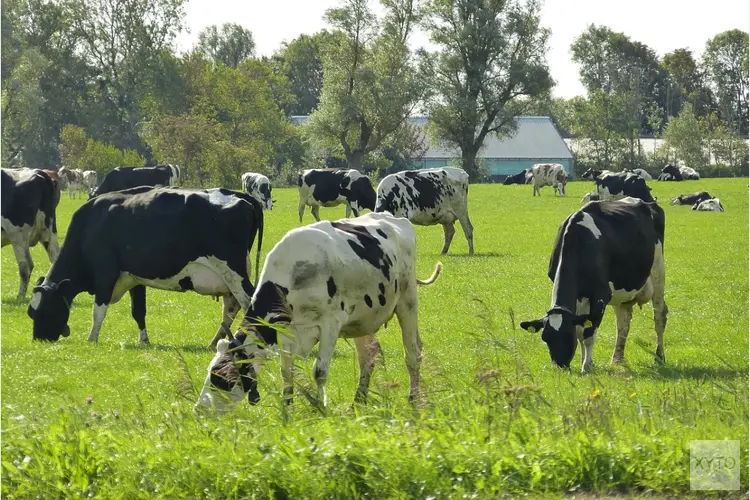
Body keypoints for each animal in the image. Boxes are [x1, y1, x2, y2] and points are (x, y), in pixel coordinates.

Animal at [27, 186, 264, 347]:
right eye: (31, 313)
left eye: (46, 309)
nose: (39, 339)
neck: (90, 225)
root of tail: (241, 195)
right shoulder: (134, 277)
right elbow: (138, 311)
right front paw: (144, 341)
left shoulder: (106, 273)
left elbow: (98, 311)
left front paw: (92, 338)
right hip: (228, 278)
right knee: (231, 307)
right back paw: (217, 342)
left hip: (233, 272)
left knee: (249, 303)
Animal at [194, 212, 443, 413]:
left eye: (220, 376)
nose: (199, 410)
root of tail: (395, 218)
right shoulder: (286, 331)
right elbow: (287, 372)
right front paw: (288, 408)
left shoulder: (331, 323)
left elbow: (319, 371)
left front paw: (320, 407)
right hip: (362, 319)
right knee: (368, 358)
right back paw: (358, 402)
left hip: (407, 300)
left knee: (412, 353)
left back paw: (413, 399)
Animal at [520, 197, 667, 373]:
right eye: (545, 338)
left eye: (567, 336)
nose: (559, 367)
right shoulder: (580, 297)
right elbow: (580, 331)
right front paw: (586, 361)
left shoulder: (601, 294)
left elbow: (588, 333)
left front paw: (587, 366)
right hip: (621, 292)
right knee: (623, 324)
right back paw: (617, 359)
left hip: (658, 273)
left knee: (659, 318)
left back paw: (659, 358)